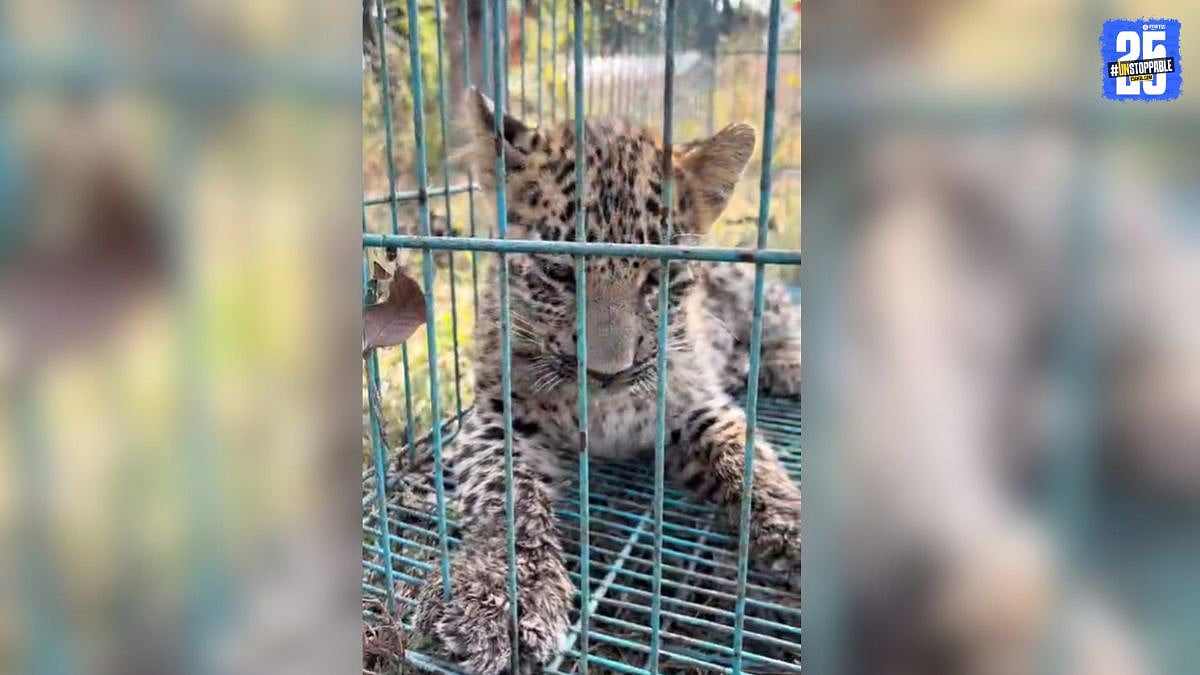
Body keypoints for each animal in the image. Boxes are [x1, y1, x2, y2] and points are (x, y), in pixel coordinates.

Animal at [407, 89, 802, 674]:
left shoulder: (696, 404)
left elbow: (751, 463)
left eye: (659, 277)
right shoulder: (497, 417)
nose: (607, 371)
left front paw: (796, 536)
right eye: (557, 272)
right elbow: (505, 498)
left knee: (778, 313)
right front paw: (505, 596)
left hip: (744, 283)